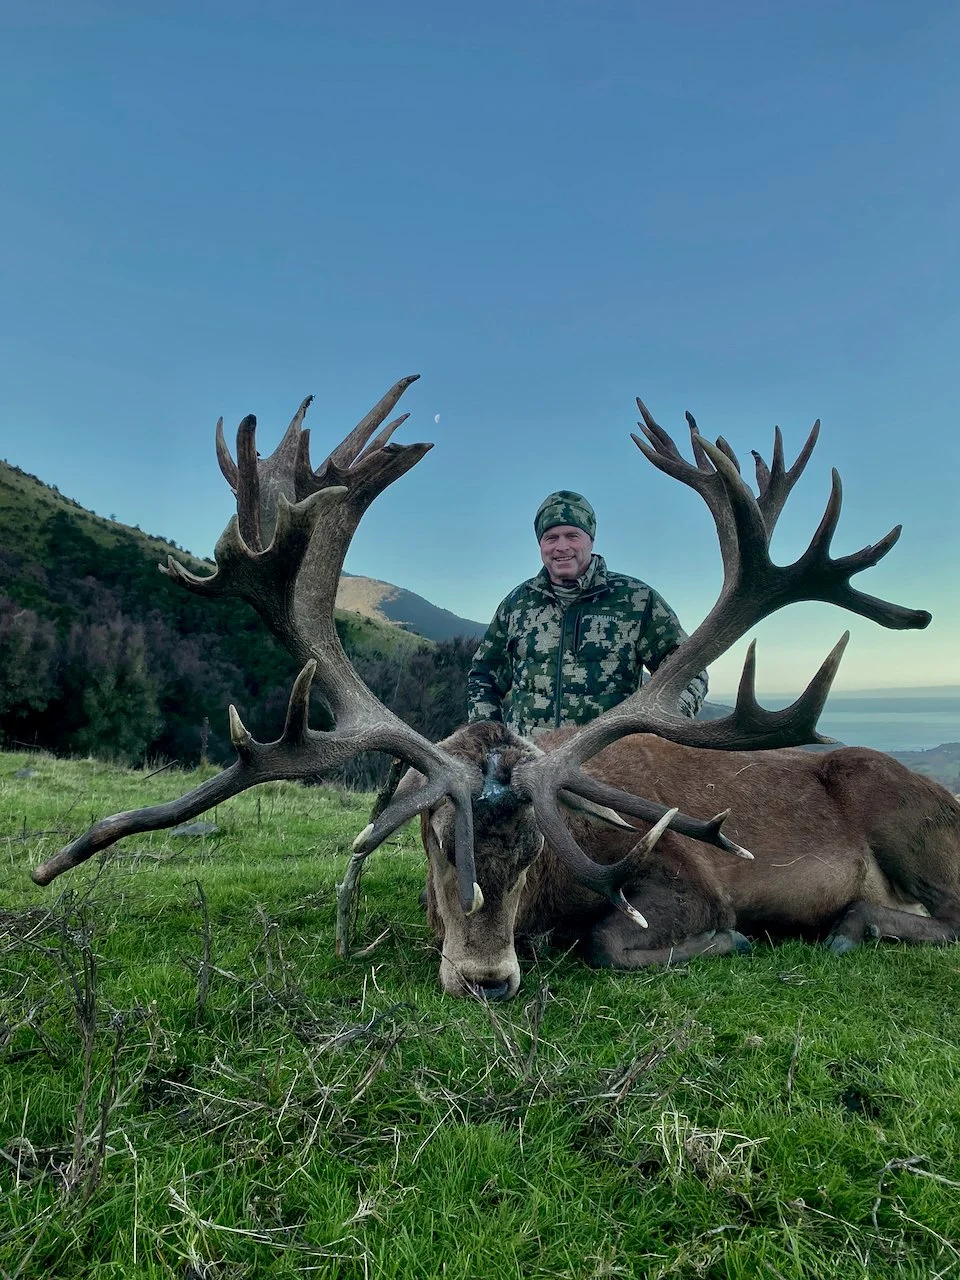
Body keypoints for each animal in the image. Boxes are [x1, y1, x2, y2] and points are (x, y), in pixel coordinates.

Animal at [29, 377, 960, 1002]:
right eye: (439, 841)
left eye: (538, 851)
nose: (486, 978)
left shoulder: (692, 877)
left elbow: (613, 942)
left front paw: (730, 943)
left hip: (912, 824)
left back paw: (848, 929)